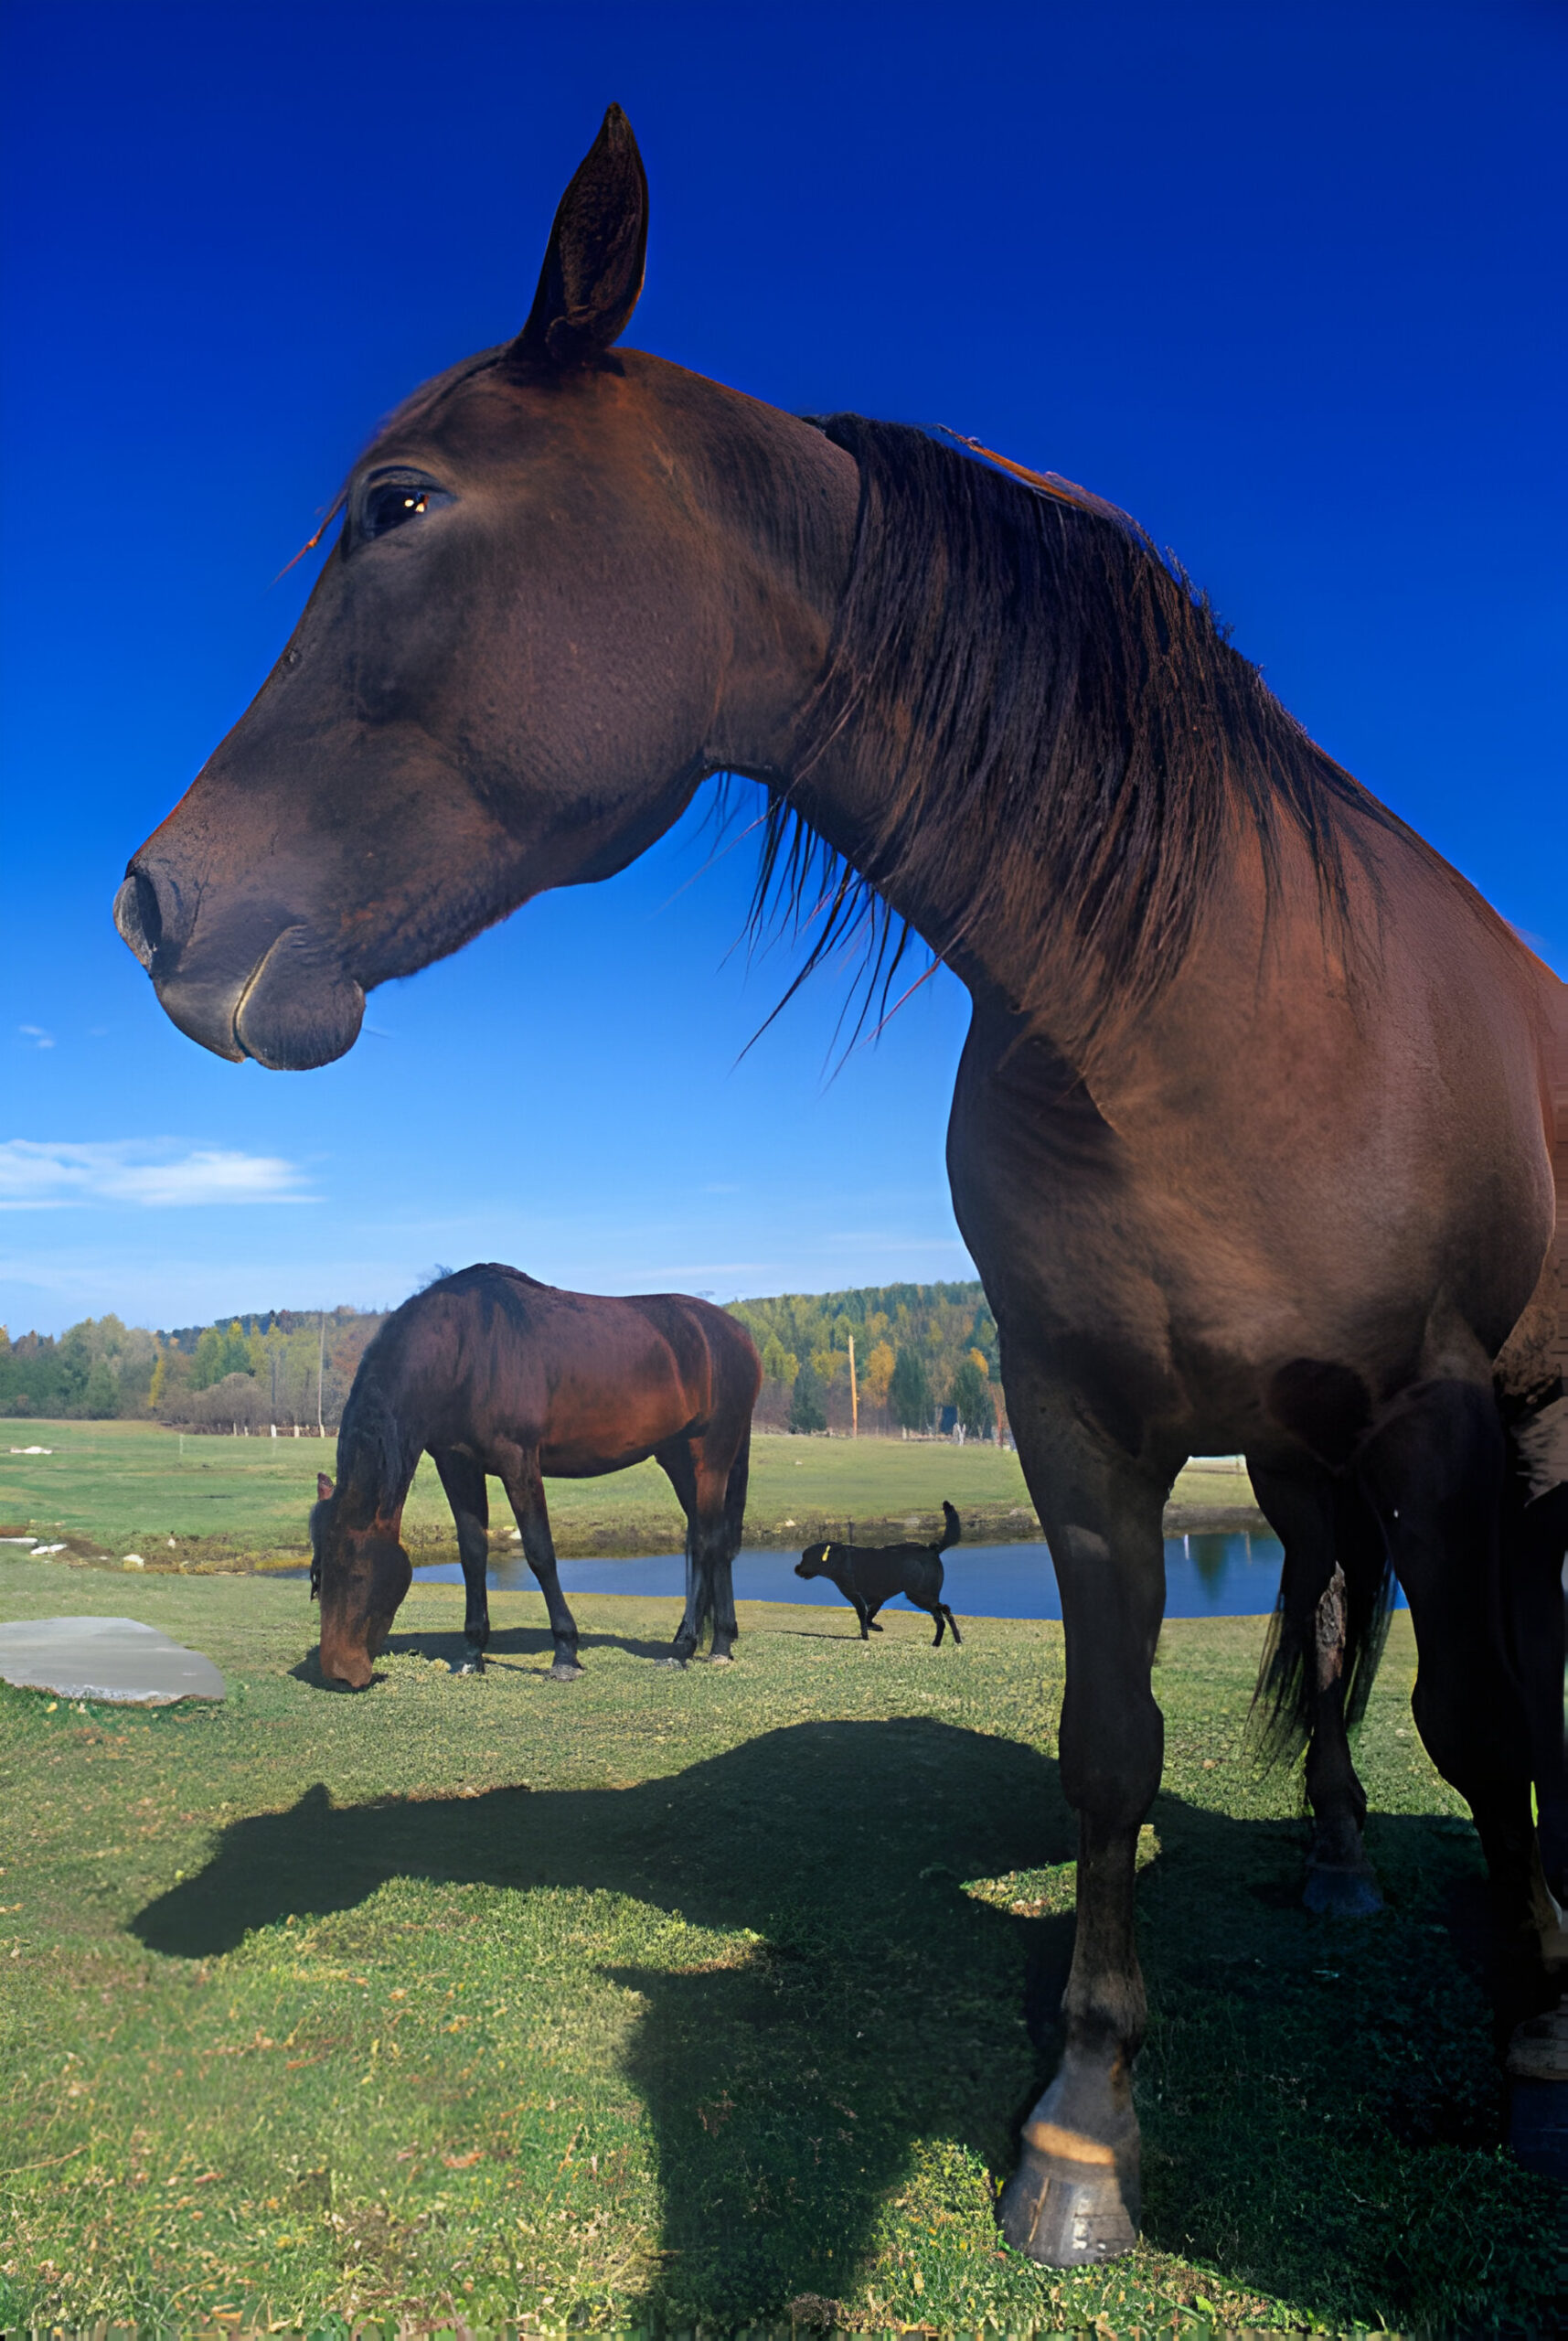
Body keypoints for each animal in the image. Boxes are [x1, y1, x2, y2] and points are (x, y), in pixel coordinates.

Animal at [308, 1264, 763, 1685]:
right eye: (317, 1575)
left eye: (357, 1572)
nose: (339, 1672)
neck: (462, 1350)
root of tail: (737, 1335)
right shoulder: (457, 1464)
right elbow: (473, 1553)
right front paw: (472, 1653)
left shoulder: (519, 1461)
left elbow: (540, 1552)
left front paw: (565, 1653)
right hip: (679, 1459)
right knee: (714, 1541)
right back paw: (719, 1642)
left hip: (711, 1454)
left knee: (705, 1543)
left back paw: (684, 1647)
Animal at [805, 1498, 964, 1648]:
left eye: (805, 1558)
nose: (799, 1568)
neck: (837, 1557)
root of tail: (932, 1549)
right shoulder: (877, 1597)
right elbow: (869, 1615)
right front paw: (873, 1627)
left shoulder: (859, 1595)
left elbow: (865, 1616)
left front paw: (867, 1632)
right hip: (925, 1595)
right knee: (946, 1611)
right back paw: (957, 1640)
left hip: (919, 1594)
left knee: (941, 1617)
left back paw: (936, 1642)